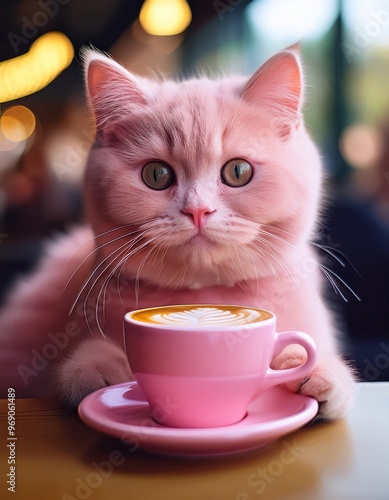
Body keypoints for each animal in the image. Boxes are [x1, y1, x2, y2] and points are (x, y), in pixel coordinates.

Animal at [0, 46, 354, 418]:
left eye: (238, 171)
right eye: (157, 175)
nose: (197, 210)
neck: (203, 296)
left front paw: (313, 369)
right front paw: (97, 370)